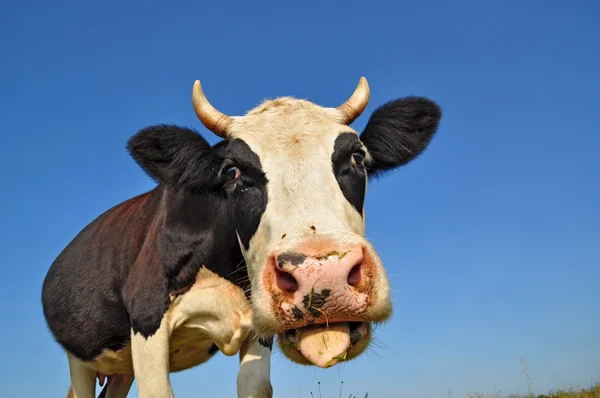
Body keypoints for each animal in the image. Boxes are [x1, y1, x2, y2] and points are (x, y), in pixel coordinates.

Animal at [41, 76, 440, 396]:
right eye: (232, 172)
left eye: (357, 156)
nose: (323, 276)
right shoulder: (147, 316)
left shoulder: (258, 331)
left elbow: (257, 387)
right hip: (81, 356)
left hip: (118, 370)